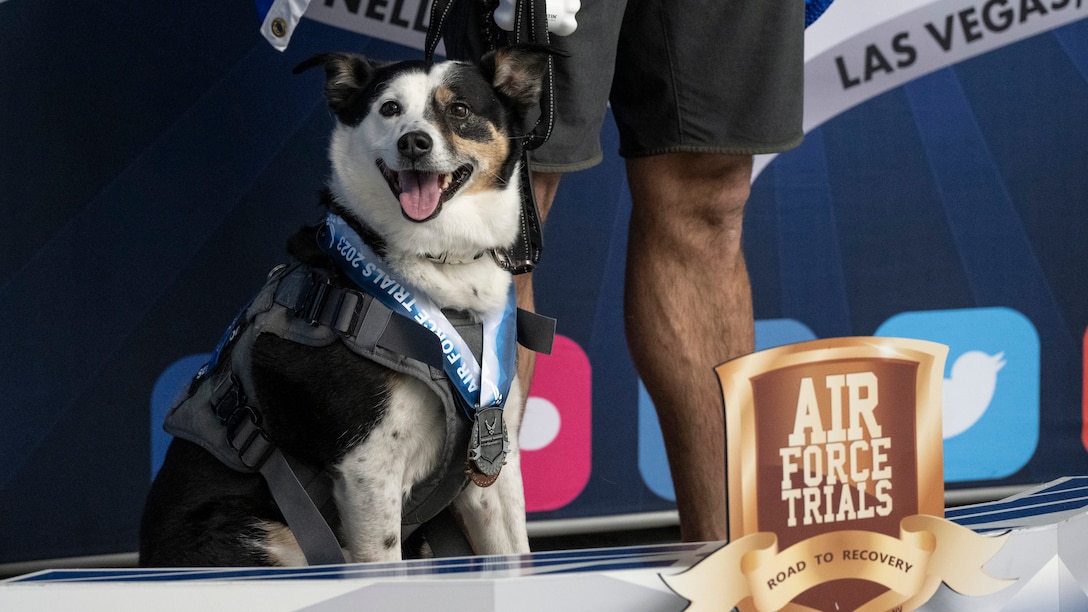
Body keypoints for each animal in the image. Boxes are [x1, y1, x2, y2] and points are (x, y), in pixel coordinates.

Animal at [140, 47, 552, 566]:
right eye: (389, 109)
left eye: (459, 109)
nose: (413, 143)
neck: (435, 266)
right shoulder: (368, 469)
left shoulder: (491, 456)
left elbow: (516, 560)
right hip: (265, 538)